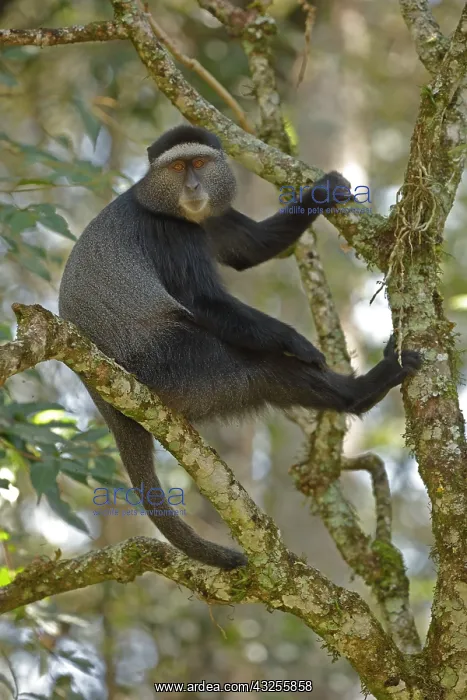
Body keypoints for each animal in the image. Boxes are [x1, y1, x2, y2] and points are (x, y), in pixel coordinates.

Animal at [58, 125, 421, 570]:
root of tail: (104, 398)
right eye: (177, 168)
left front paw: (324, 190)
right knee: (261, 370)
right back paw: (364, 389)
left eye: (199, 163)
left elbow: (251, 247)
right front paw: (297, 341)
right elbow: (203, 302)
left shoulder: (211, 217)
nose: (193, 186)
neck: (169, 206)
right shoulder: (171, 235)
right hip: (173, 363)